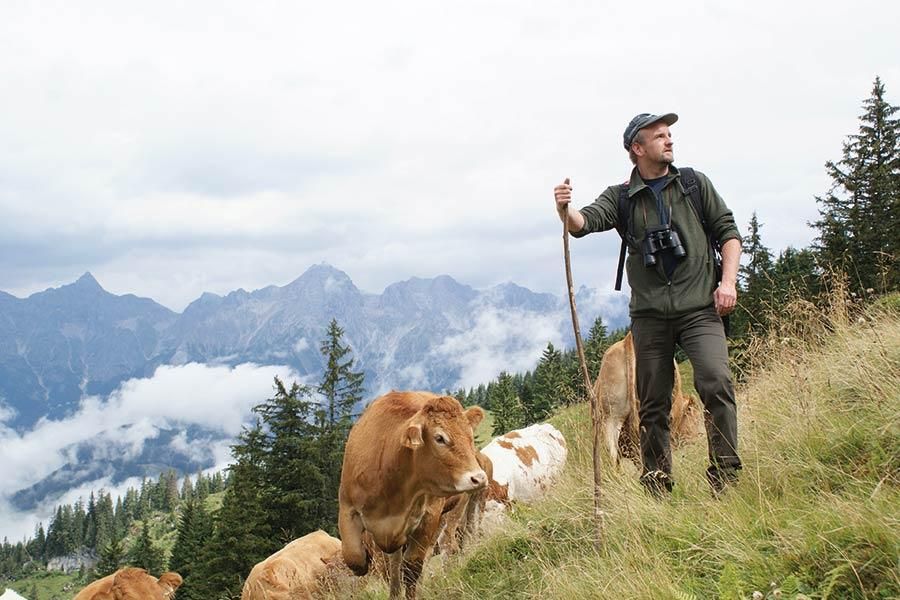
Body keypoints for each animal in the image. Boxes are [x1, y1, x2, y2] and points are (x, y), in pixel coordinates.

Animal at [338, 392, 488, 596]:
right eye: (439, 438)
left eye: (469, 435)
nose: (478, 478)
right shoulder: (348, 509)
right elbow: (355, 558)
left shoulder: (429, 516)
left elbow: (411, 568)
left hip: (458, 509)